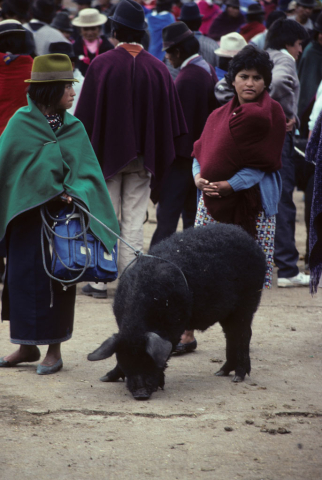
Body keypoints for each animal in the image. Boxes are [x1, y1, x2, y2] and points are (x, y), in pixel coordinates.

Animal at [87, 224, 266, 402]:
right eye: (126, 361)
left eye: (148, 360)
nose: (141, 394)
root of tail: (249, 239)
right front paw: (105, 378)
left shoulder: (175, 326)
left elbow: (166, 354)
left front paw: (160, 385)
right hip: (229, 312)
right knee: (231, 335)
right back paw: (221, 373)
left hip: (248, 300)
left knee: (243, 335)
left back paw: (238, 377)